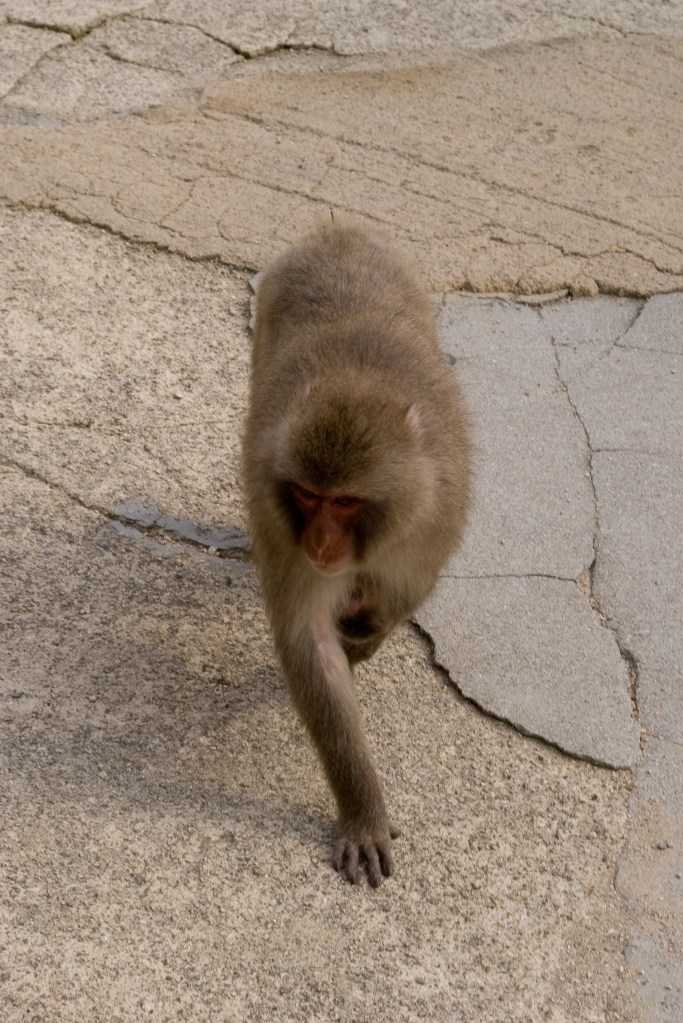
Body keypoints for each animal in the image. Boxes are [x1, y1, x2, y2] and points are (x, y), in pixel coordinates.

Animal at [242, 221, 470, 886]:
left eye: (344, 501)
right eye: (306, 495)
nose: (319, 542)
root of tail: (337, 234)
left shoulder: (433, 520)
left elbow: (406, 593)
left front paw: (368, 633)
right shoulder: (280, 528)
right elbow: (311, 645)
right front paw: (363, 811)